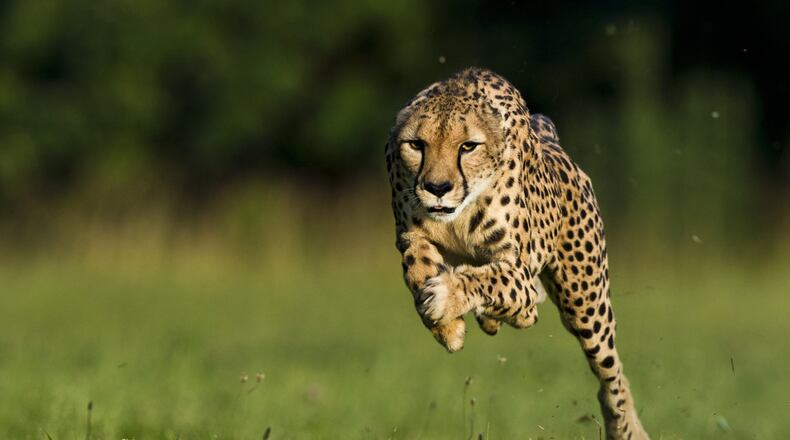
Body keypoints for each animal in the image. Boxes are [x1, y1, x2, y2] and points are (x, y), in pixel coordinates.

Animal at [385, 67, 649, 440]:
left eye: (468, 146)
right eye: (416, 145)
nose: (437, 188)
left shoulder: (518, 271)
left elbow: (489, 279)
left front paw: (446, 298)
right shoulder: (410, 235)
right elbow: (417, 267)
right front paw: (447, 328)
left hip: (585, 304)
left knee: (611, 372)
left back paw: (625, 428)